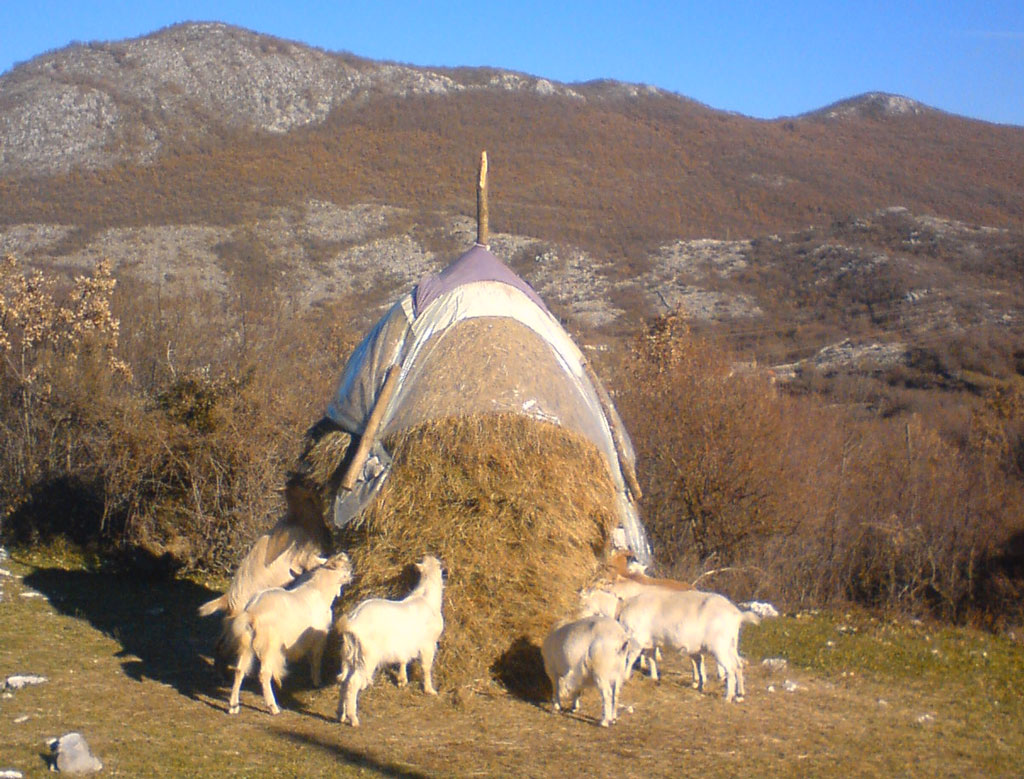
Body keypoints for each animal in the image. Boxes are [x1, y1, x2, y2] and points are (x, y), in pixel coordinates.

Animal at [226, 548, 354, 712]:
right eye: (344, 567)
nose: (351, 576)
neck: (319, 590)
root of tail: (251, 613)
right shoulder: (320, 637)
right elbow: (316, 658)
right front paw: (317, 681)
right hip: (269, 644)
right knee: (263, 674)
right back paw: (273, 707)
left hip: (246, 644)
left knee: (239, 670)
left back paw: (233, 706)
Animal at [337, 552, 446, 724]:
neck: (426, 597)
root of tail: (352, 622)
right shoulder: (428, 644)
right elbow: (426, 667)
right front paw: (430, 690)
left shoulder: (405, 644)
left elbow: (403, 660)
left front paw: (402, 680)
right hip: (366, 657)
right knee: (353, 683)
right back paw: (353, 719)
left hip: (348, 656)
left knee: (343, 681)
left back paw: (342, 716)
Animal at [610, 585, 757, 700]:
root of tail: (737, 614)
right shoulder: (651, 642)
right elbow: (651, 658)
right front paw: (654, 678)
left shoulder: (635, 640)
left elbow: (630, 658)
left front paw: (625, 677)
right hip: (730, 645)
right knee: (738, 665)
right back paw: (740, 694)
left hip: (719, 647)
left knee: (730, 668)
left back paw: (728, 697)